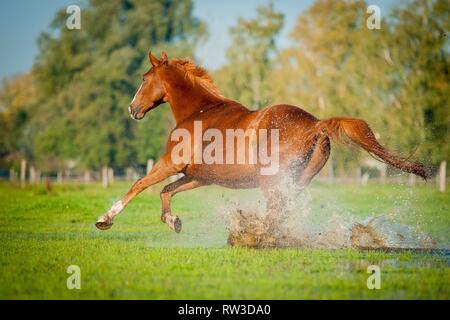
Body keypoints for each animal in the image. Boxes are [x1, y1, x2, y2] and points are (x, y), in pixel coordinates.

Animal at [95, 52, 428, 232]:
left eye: (143, 78)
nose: (132, 109)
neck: (199, 111)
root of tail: (315, 125)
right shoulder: (198, 176)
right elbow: (166, 191)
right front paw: (172, 221)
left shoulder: (170, 163)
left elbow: (139, 184)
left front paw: (104, 219)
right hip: (296, 181)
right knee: (284, 210)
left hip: (272, 181)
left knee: (276, 210)